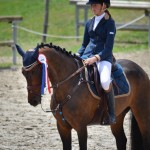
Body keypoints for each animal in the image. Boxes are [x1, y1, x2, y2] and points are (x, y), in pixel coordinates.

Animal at [15, 42, 149, 149]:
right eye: (23, 72)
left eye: (35, 70)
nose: (33, 100)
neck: (70, 85)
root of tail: (139, 69)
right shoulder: (62, 127)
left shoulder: (81, 127)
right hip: (118, 116)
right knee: (121, 140)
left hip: (142, 112)